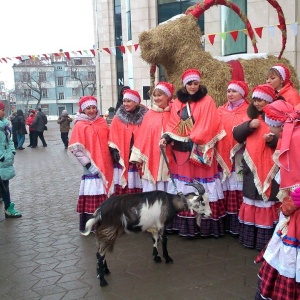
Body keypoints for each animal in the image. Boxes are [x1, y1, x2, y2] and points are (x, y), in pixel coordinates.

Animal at [81, 179, 210, 288]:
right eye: (203, 202)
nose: (210, 214)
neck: (171, 202)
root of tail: (99, 212)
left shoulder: (154, 226)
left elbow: (155, 240)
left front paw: (156, 257)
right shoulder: (162, 224)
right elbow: (164, 240)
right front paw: (168, 258)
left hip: (104, 232)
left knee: (102, 251)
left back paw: (105, 271)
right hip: (109, 231)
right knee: (99, 254)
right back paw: (102, 281)